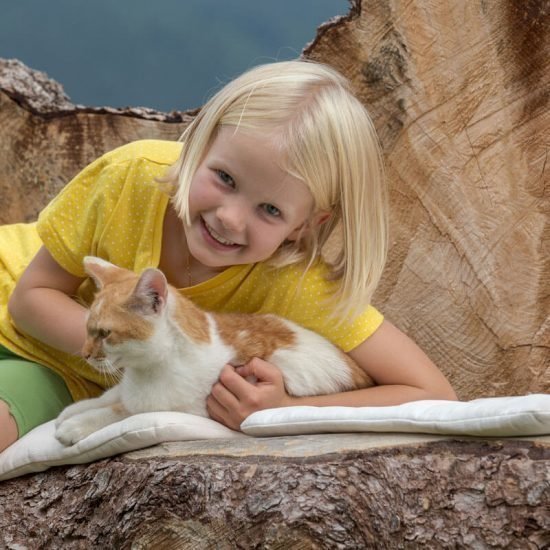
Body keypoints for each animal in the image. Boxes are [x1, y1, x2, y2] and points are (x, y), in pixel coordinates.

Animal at [55, 256, 376, 446]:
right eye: (87, 329)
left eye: (104, 334)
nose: (84, 353)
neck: (146, 369)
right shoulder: (125, 389)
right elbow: (109, 397)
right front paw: (72, 410)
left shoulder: (179, 409)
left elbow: (120, 413)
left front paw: (74, 425)